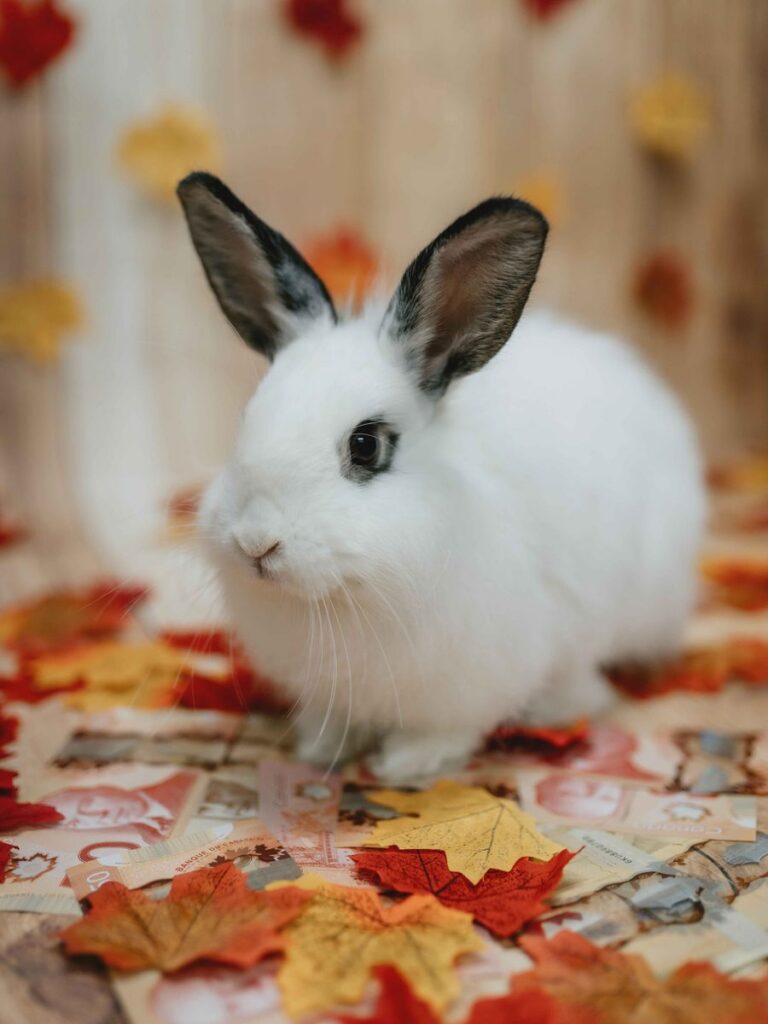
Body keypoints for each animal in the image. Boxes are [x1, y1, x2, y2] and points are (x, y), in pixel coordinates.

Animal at [177, 172, 706, 783]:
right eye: (246, 418)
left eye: (366, 445)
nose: (255, 542)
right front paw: (320, 746)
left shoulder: (475, 678)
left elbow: (449, 729)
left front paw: (407, 763)